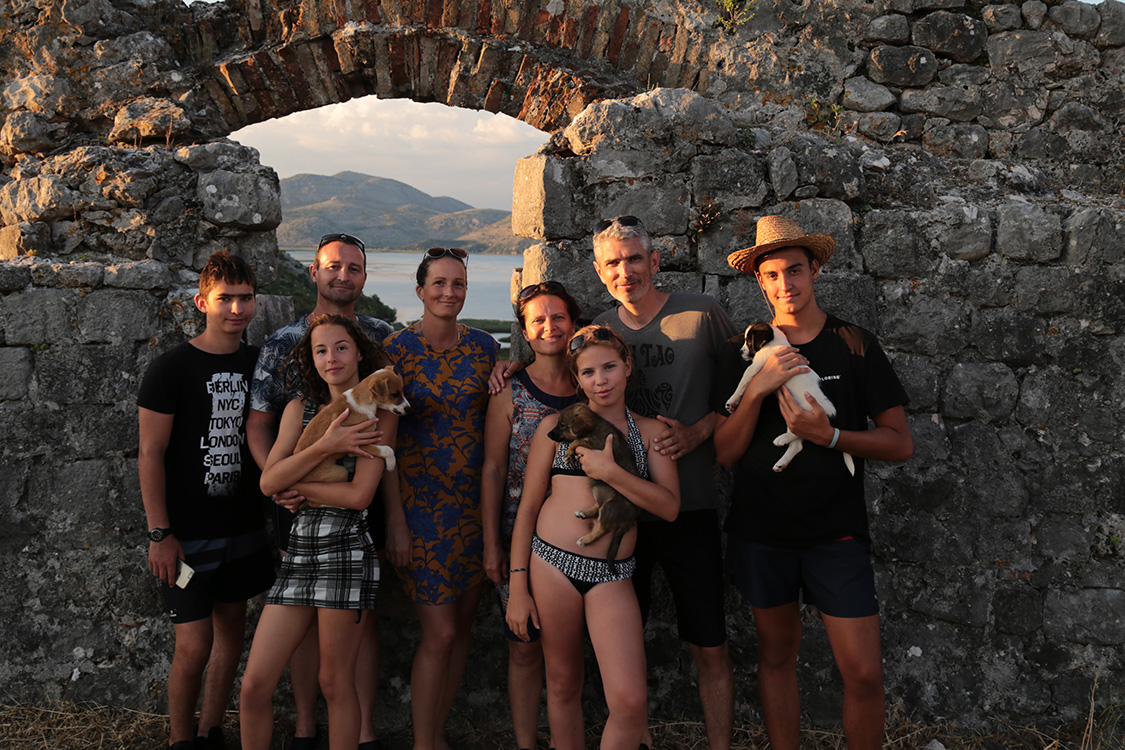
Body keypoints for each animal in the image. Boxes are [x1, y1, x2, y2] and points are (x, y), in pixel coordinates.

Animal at [546, 404, 643, 575]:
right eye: (558, 423)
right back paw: (583, 513)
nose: (548, 434)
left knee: (604, 527)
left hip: (612, 506)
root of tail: (633, 514)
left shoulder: (595, 446)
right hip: (598, 490)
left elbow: (576, 440)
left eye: (562, 425)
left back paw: (585, 540)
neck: (593, 427)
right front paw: (572, 455)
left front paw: (569, 453)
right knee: (598, 507)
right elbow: (577, 441)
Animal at [729, 321, 850, 474]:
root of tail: (834, 415)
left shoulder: (755, 367)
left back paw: (781, 439)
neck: (775, 342)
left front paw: (732, 401)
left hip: (803, 412)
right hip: (792, 415)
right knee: (797, 444)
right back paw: (782, 462)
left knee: (804, 431)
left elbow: (743, 381)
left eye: (749, 341)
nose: (740, 352)